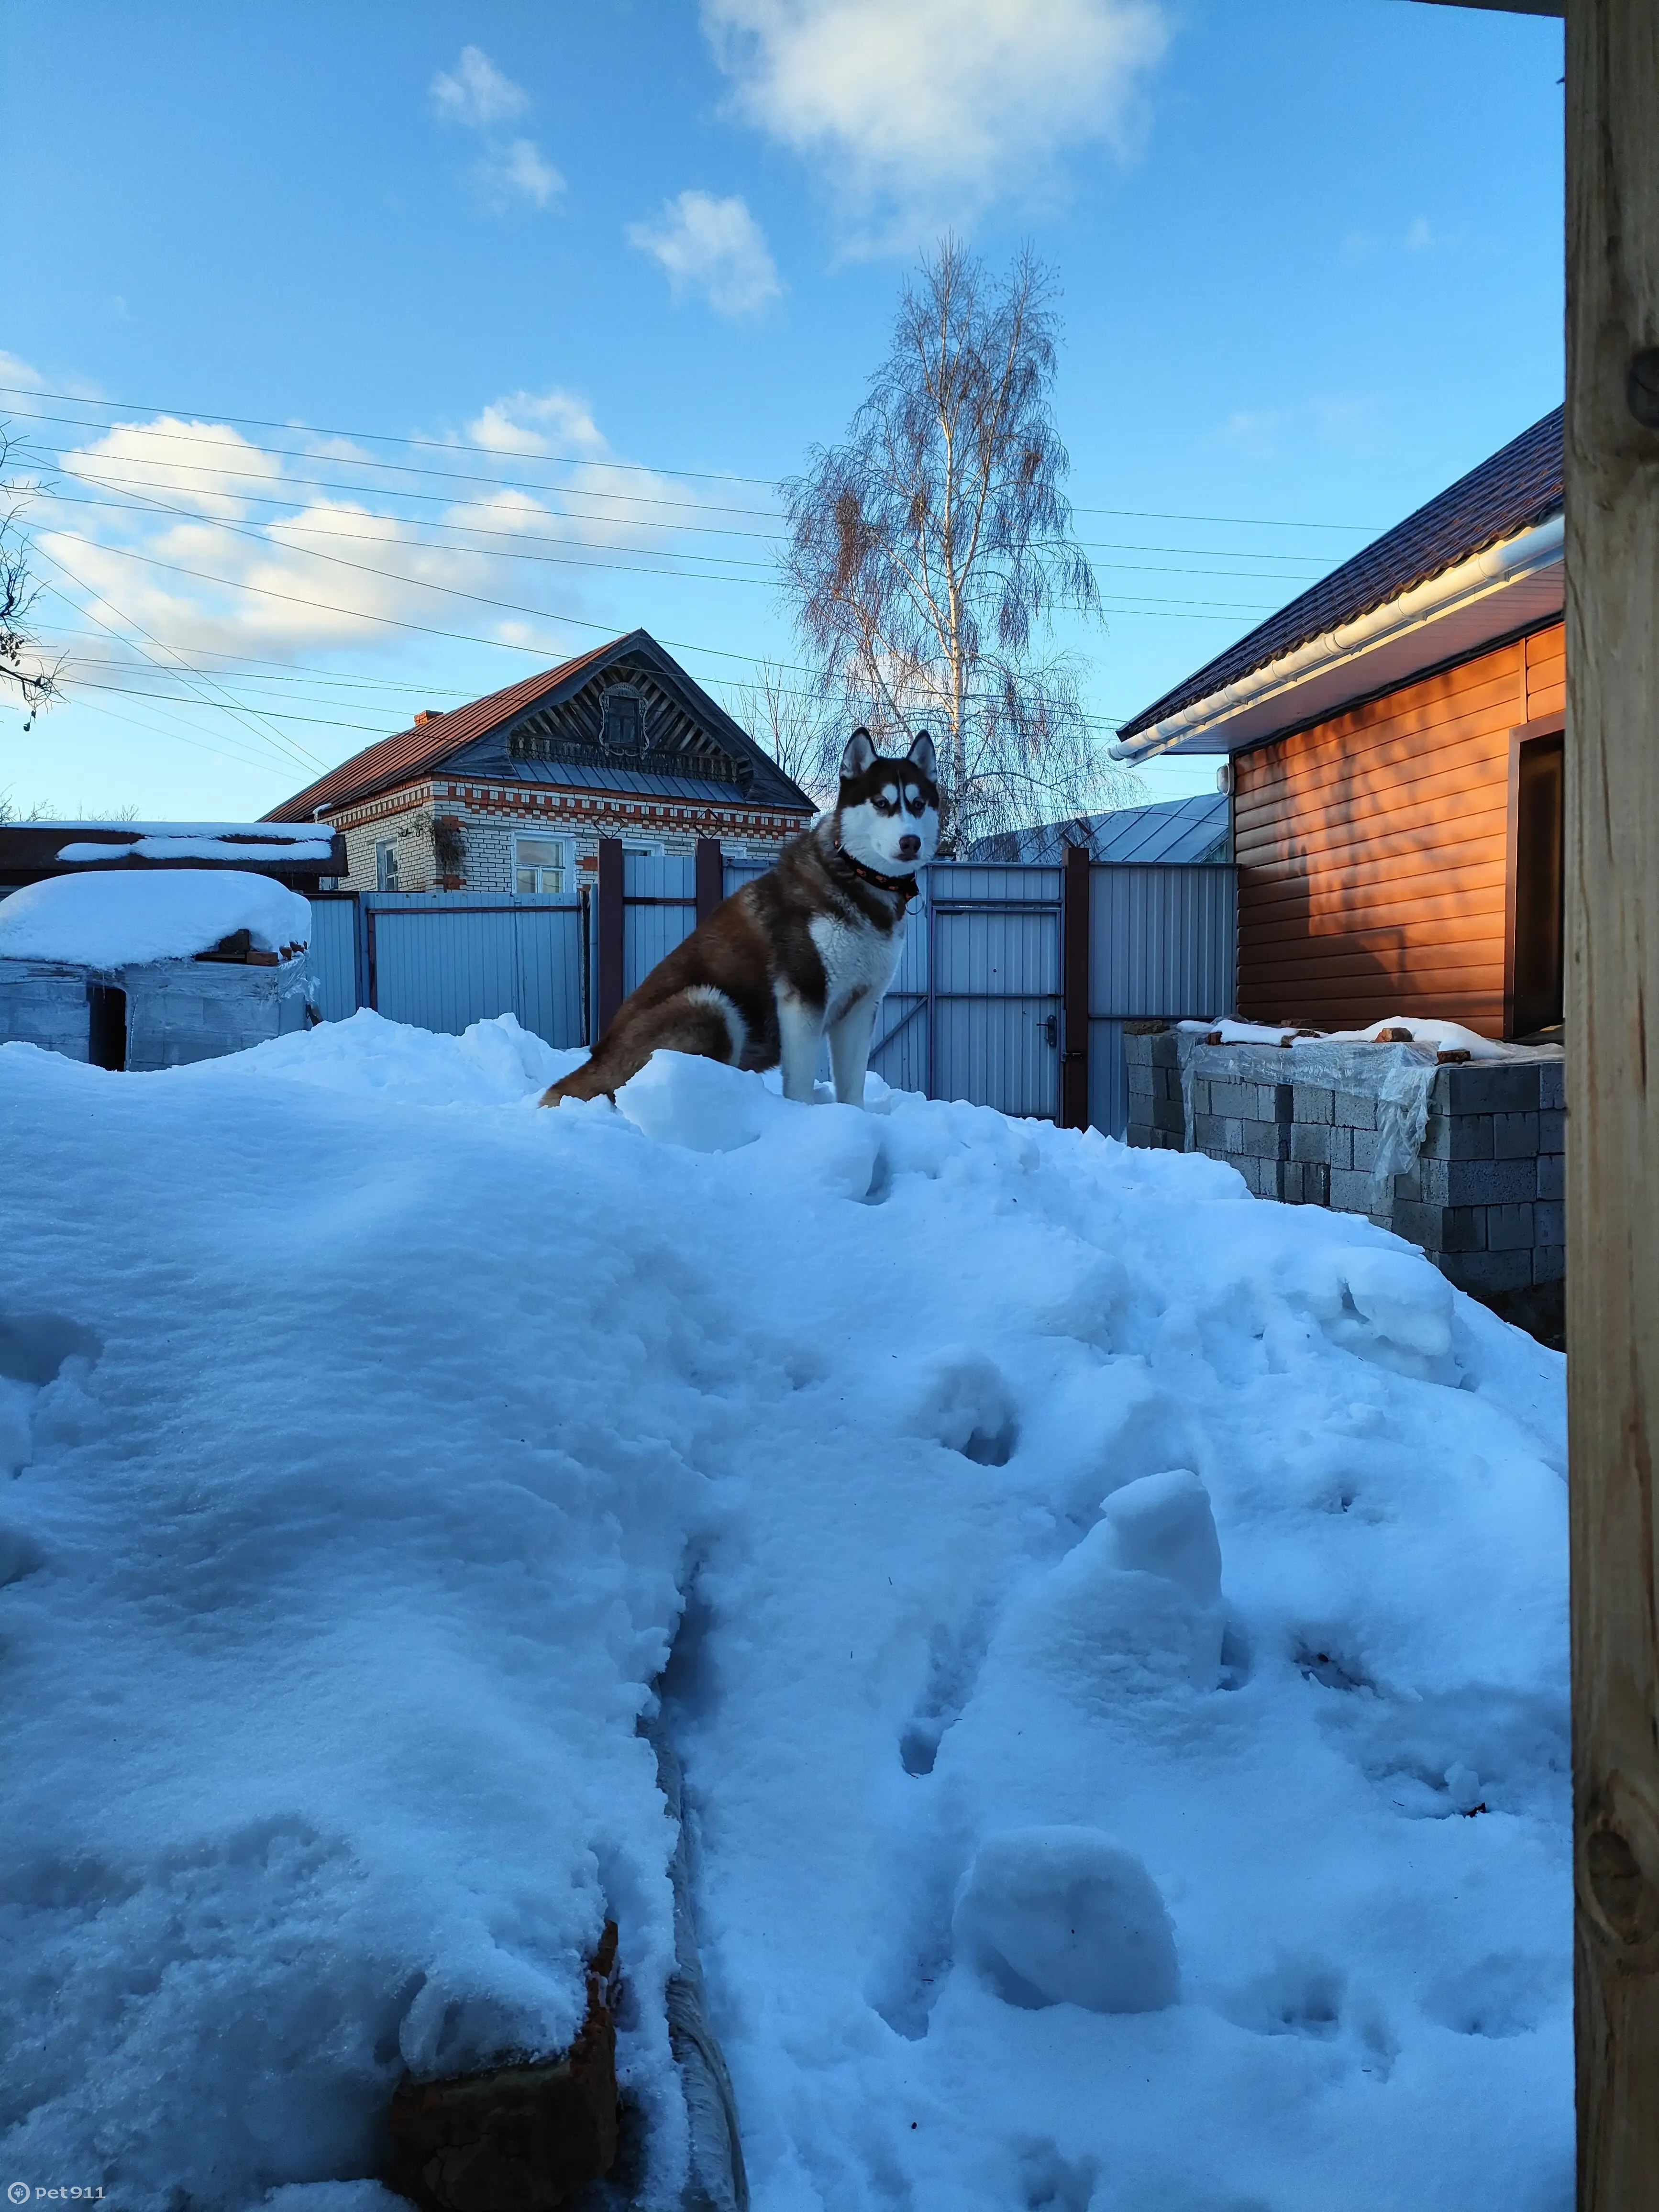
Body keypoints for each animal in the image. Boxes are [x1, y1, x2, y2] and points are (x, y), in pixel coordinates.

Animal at [542, 730, 942, 1106]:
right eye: (881, 803)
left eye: (918, 804)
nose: (910, 842)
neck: (860, 878)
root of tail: (597, 1057)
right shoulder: (803, 995)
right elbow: (800, 1082)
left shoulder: (861, 1005)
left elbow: (852, 1087)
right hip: (711, 1004)